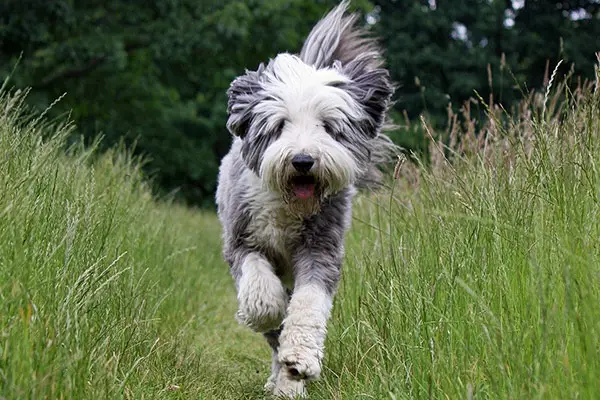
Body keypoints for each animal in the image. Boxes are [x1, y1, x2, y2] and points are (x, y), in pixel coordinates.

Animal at [216, 1, 394, 396]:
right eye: (280, 125)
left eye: (328, 127)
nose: (302, 160)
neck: (287, 206)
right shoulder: (241, 238)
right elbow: (262, 292)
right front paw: (266, 310)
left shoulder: (321, 247)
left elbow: (308, 304)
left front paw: (298, 361)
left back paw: (287, 382)